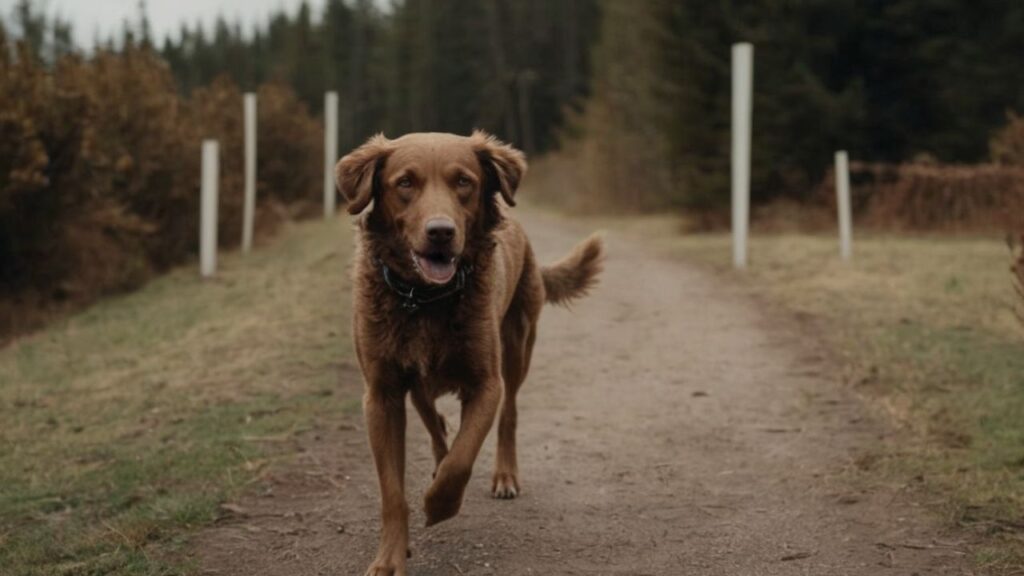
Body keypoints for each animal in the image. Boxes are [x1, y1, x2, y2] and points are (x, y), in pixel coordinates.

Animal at [335, 131, 598, 573]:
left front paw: (439, 505)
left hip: (518, 345)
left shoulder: (485, 383)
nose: (440, 232)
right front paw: (390, 558)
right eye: (405, 183)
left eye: (463, 181)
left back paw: (504, 476)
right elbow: (393, 491)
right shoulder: (381, 394)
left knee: (508, 415)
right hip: (417, 378)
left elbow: (462, 459)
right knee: (432, 420)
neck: (424, 299)